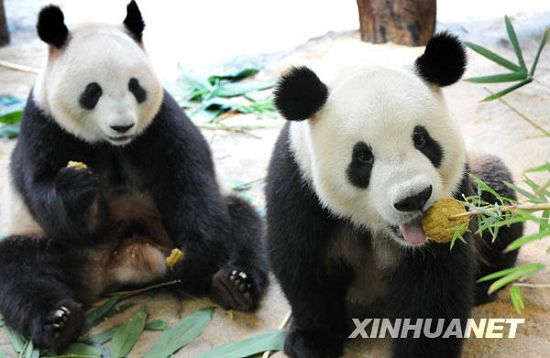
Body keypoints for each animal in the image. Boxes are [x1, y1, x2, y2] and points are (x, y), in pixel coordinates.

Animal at [0, 0, 270, 352]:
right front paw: (78, 187)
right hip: (46, 243)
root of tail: (122, 265)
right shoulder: (44, 126)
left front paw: (196, 255)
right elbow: (42, 191)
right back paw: (59, 321)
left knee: (243, 225)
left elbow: (188, 173)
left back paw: (234, 282)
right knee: (20, 272)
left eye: (135, 86)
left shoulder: (160, 119)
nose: (122, 125)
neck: (111, 143)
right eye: (92, 91)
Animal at [268, 33, 528, 358]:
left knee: (498, 201)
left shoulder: (454, 196)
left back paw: (485, 285)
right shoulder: (298, 183)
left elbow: (435, 282)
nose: (414, 198)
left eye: (421, 139)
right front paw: (312, 341)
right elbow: (304, 262)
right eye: (362, 157)